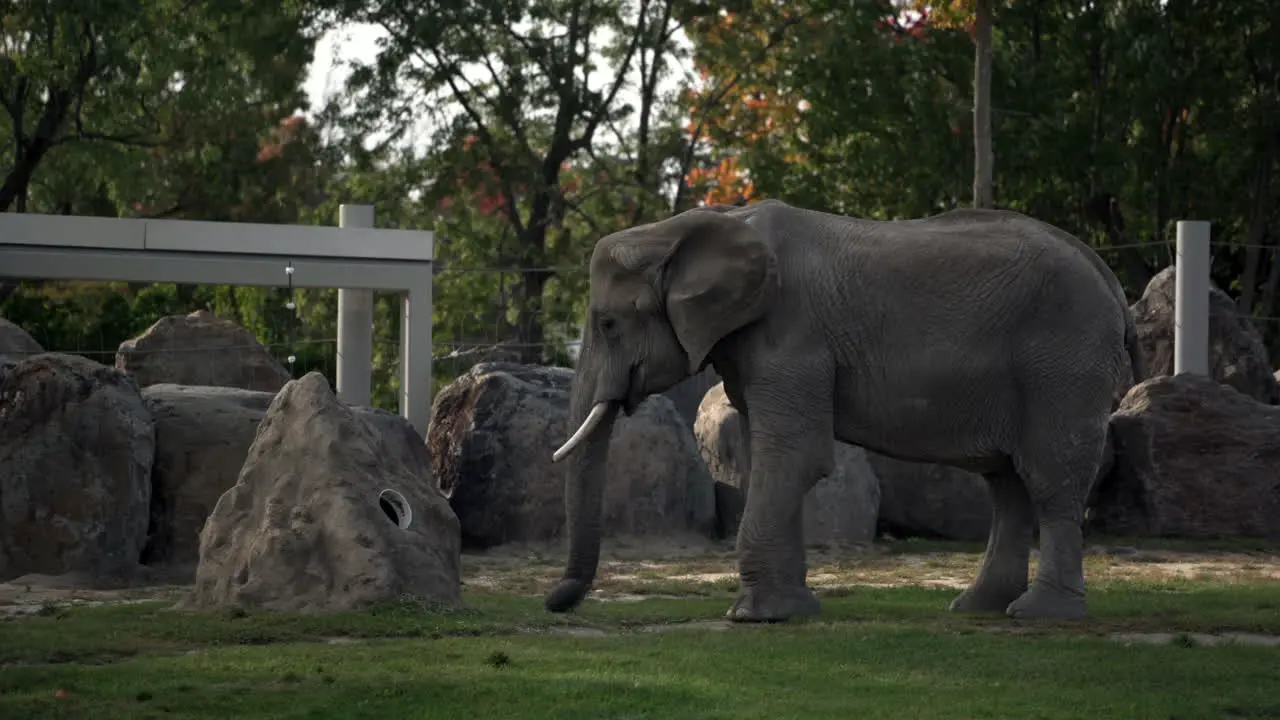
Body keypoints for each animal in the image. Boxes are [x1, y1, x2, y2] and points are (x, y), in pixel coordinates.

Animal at [545, 197, 1146, 622]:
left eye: (607, 324)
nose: (556, 602)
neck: (694, 225)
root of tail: (1111, 283)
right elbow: (775, 456)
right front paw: (789, 613)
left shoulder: (793, 336)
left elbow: (793, 456)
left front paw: (751, 617)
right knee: (1007, 481)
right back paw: (980, 609)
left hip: (1063, 359)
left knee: (1048, 475)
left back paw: (1042, 616)